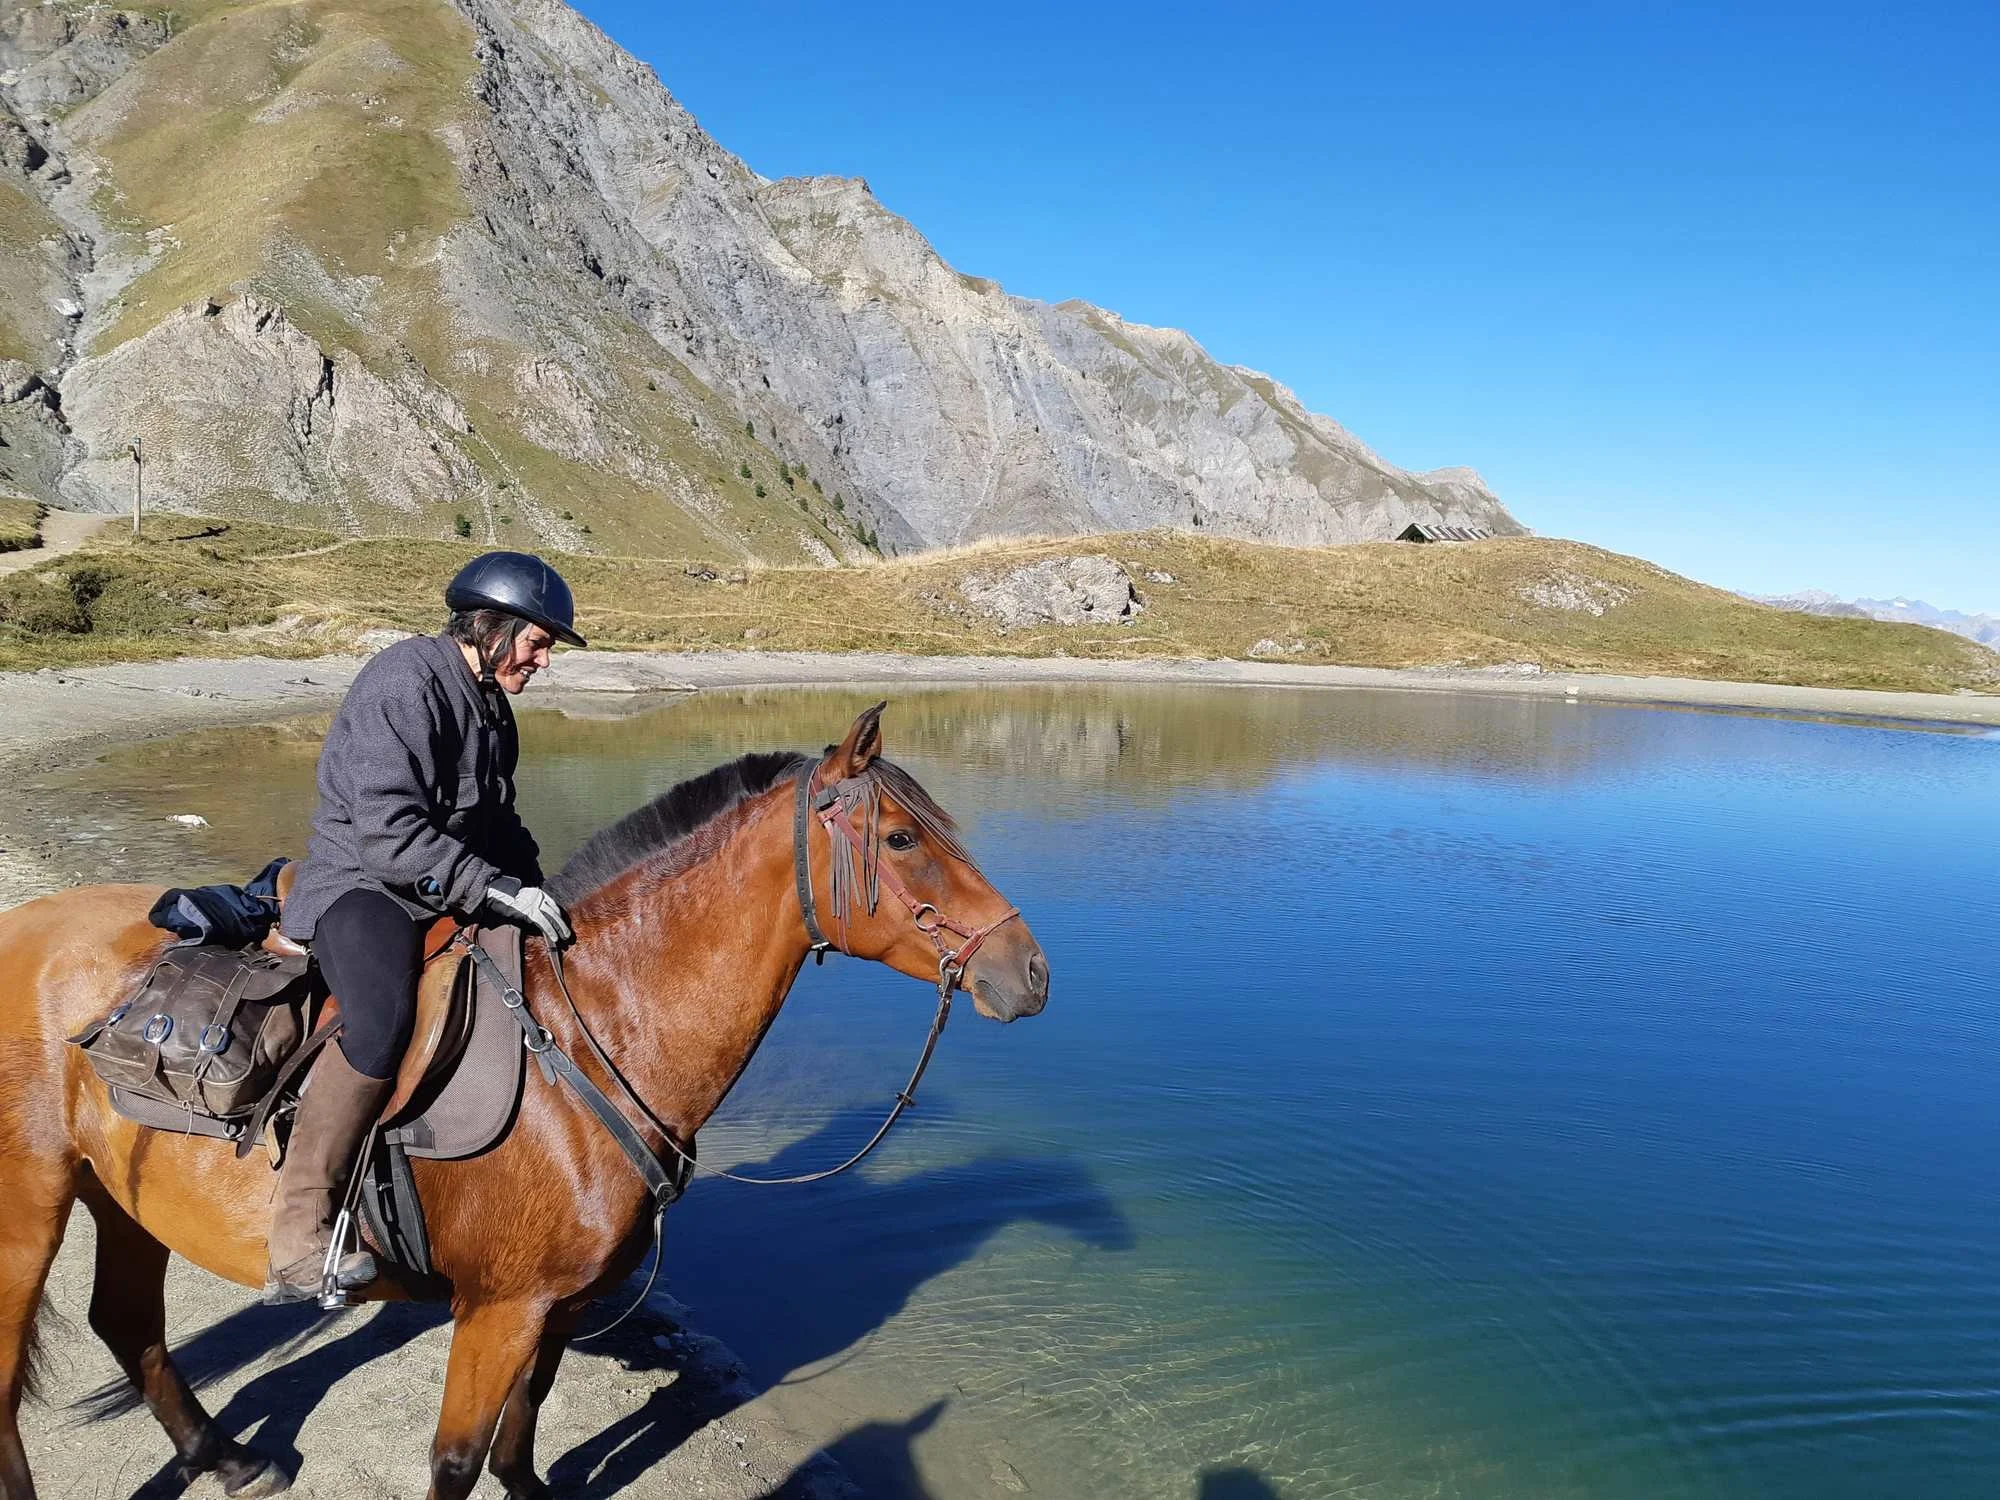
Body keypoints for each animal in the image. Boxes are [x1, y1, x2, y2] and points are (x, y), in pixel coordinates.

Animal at [0, 704, 1049, 1500]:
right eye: (903, 838)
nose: (1032, 972)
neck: (587, 1043)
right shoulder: (499, 1310)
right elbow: (458, 1459)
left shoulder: (559, 1303)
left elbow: (524, 1426)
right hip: (32, 1209)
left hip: (123, 1199)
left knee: (128, 1326)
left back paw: (226, 1458)